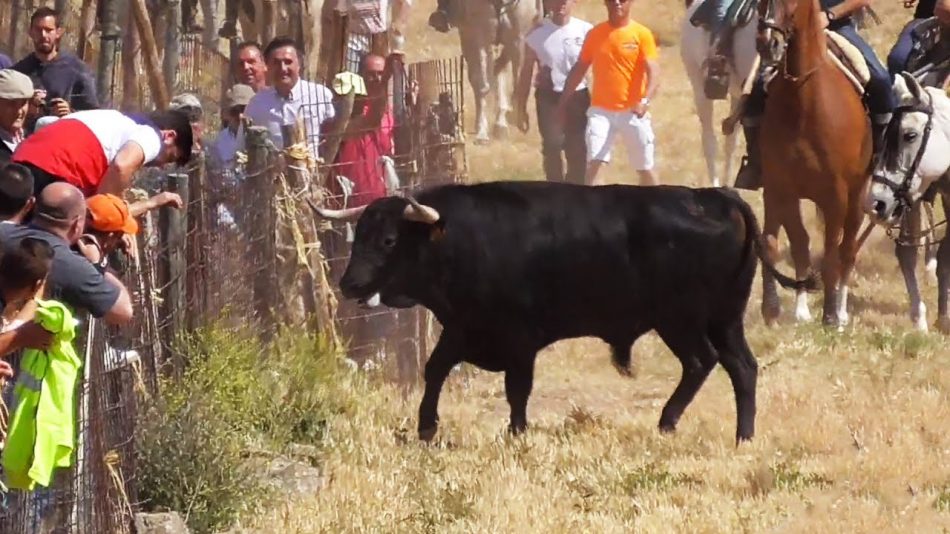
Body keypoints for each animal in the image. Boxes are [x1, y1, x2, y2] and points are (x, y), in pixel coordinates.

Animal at [308, 182, 816, 446]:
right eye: (358, 235)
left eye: (389, 239)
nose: (349, 284)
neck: (457, 237)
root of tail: (714, 196)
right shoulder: (462, 327)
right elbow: (434, 370)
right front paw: (426, 427)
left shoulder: (519, 339)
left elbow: (517, 389)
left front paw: (516, 433)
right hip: (724, 319)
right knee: (741, 367)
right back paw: (741, 435)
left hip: (683, 320)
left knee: (702, 362)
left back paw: (671, 422)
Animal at [764, 0, 872, 326]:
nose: (768, 42)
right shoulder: (779, 188)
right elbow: (782, 245)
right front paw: (773, 311)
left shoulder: (835, 195)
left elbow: (830, 256)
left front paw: (830, 316)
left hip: (856, 198)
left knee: (847, 251)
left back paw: (842, 312)